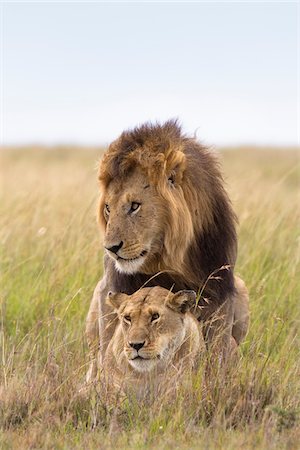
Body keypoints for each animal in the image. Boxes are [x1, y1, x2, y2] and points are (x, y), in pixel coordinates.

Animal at [86, 121, 248, 382]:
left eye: (134, 206)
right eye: (108, 208)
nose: (110, 248)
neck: (169, 259)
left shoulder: (220, 290)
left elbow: (218, 352)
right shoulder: (112, 290)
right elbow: (111, 340)